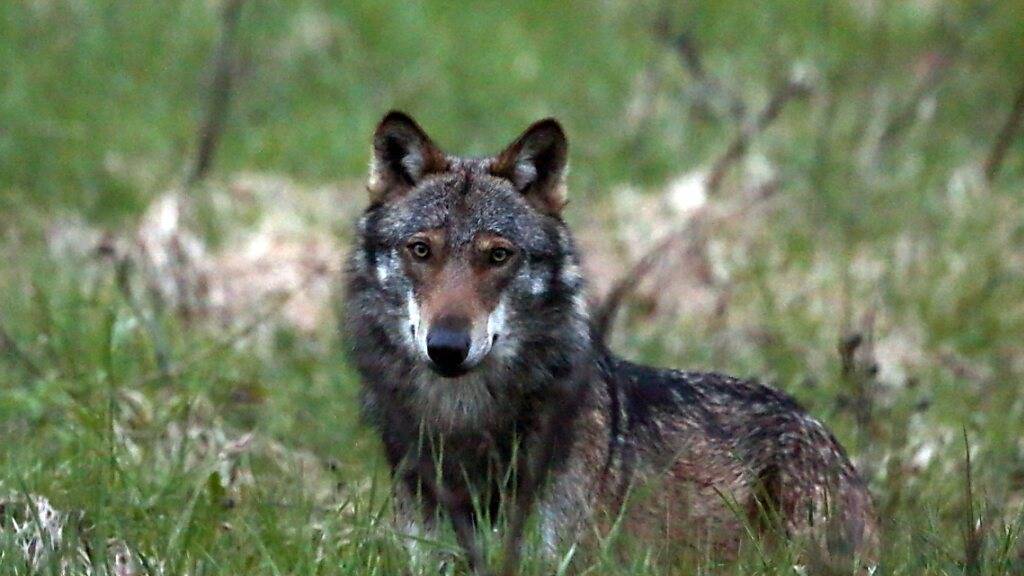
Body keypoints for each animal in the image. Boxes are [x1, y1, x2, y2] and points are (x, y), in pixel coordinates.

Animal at [342, 109, 872, 569]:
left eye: (497, 256)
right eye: (420, 250)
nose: (448, 348)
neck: (464, 422)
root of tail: (822, 431)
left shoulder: (556, 559)